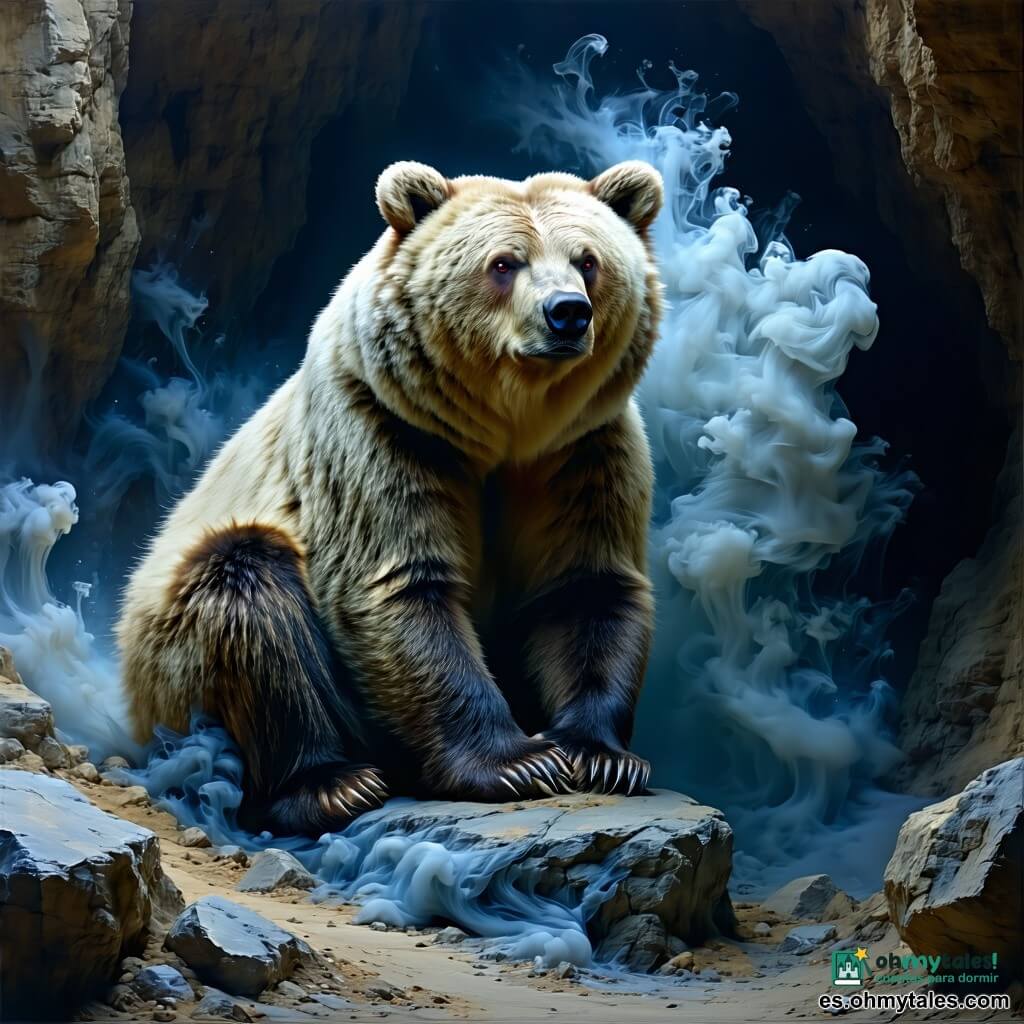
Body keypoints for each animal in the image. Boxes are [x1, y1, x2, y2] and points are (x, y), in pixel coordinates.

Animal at [117, 159, 664, 837]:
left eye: (587, 259)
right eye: (504, 262)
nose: (567, 312)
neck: (507, 432)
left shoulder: (582, 452)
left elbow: (587, 587)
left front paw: (598, 756)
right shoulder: (385, 432)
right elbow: (400, 586)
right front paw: (518, 763)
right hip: (170, 649)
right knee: (248, 591)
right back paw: (333, 783)